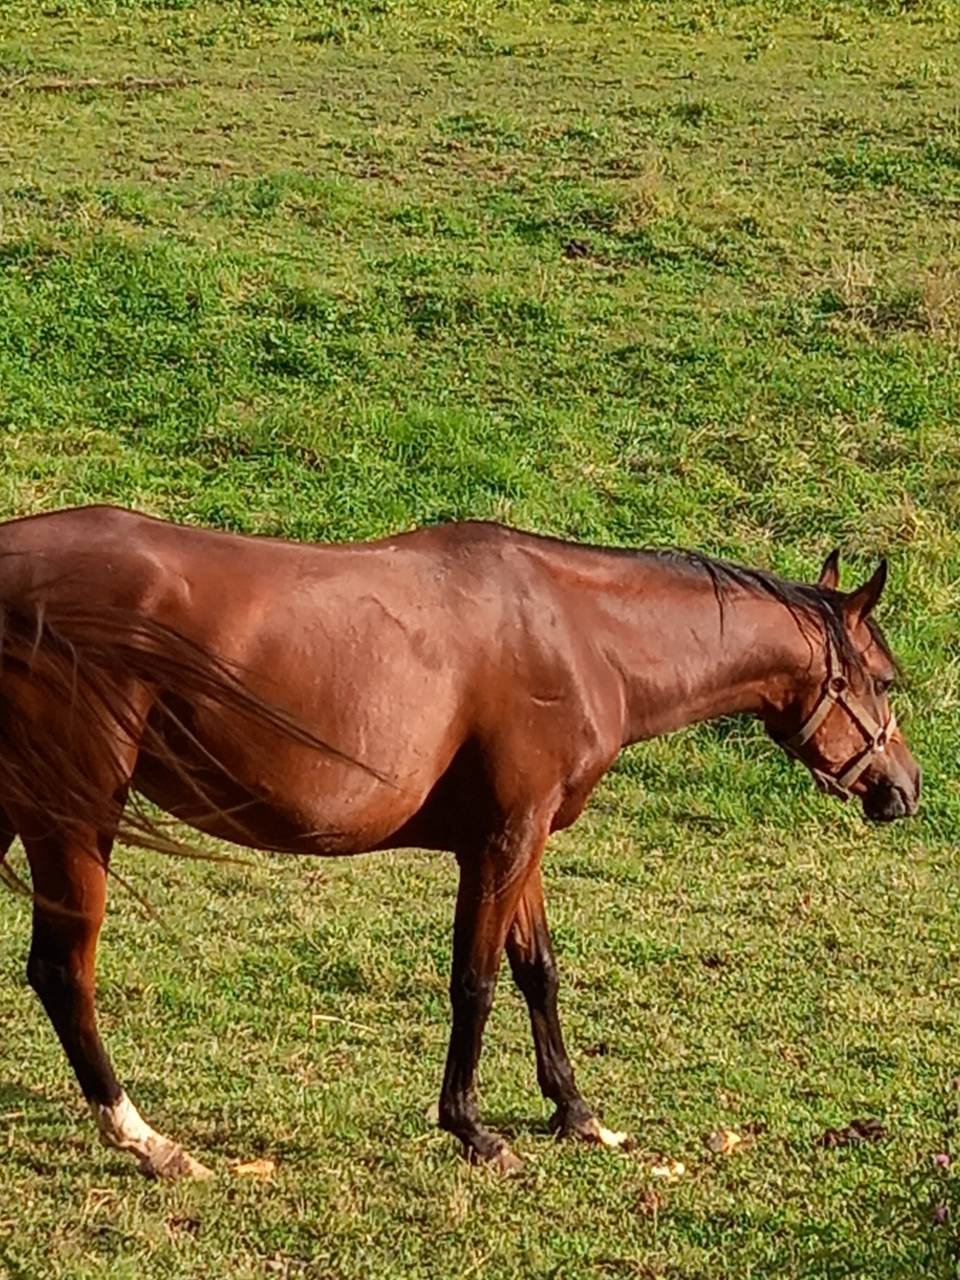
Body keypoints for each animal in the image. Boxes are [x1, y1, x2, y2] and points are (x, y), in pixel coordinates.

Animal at [0, 505, 919, 1177]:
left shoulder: (521, 839)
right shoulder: (505, 840)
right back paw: (144, 1139)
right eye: (883, 679)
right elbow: (475, 984)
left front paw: (578, 1116)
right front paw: (473, 1130)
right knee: (62, 973)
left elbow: (538, 972)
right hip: (72, 816)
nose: (903, 790)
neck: (576, 632)